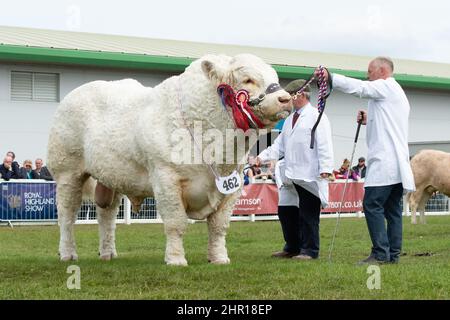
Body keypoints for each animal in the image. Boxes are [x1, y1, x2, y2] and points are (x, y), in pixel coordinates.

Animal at [46, 54, 292, 264]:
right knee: (67, 215)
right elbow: (176, 222)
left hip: (111, 178)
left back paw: (108, 253)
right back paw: (67, 254)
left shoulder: (233, 186)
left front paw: (219, 258)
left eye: (275, 78)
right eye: (248, 79)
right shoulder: (166, 178)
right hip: (67, 172)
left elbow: (218, 226)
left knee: (106, 216)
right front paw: (175, 259)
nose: (285, 99)